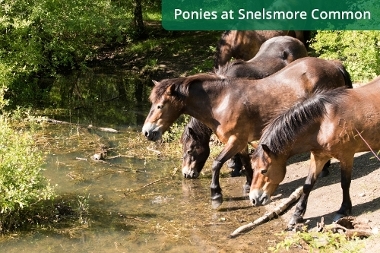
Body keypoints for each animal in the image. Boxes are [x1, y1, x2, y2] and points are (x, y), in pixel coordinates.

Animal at [144, 57, 352, 210]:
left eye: (160, 105)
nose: (147, 132)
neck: (221, 102)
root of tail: (333, 64)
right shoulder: (240, 142)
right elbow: (245, 161)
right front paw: (249, 185)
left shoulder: (235, 140)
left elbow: (217, 163)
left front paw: (216, 195)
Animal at [249, 76, 380, 228]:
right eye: (253, 168)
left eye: (264, 170)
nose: (254, 199)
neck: (324, 123)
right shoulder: (318, 157)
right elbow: (307, 185)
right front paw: (297, 215)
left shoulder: (346, 156)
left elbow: (345, 183)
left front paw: (343, 209)